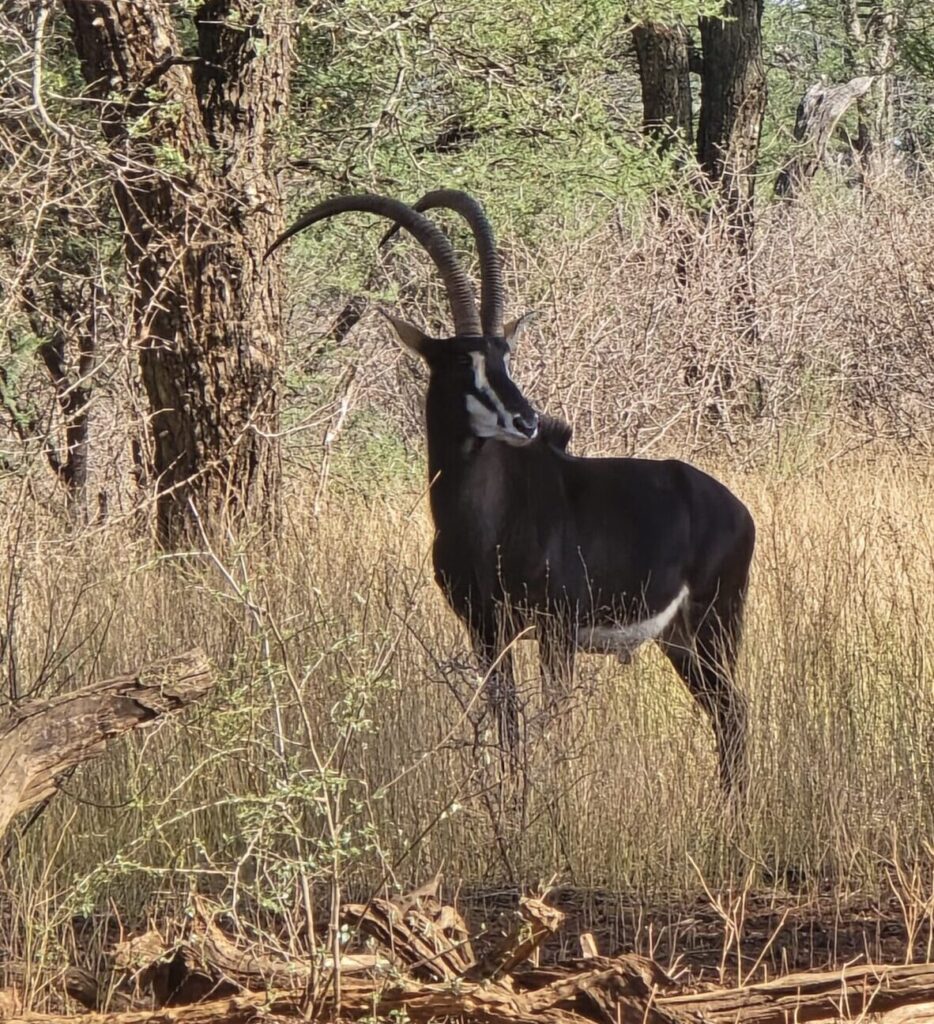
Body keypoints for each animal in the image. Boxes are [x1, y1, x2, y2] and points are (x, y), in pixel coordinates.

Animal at [268, 192, 756, 798]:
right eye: (463, 360)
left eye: (505, 354)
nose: (527, 420)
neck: (482, 521)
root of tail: (737, 510)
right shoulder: (484, 630)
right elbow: (508, 723)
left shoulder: (555, 631)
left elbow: (556, 722)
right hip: (680, 640)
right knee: (724, 712)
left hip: (714, 623)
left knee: (733, 712)